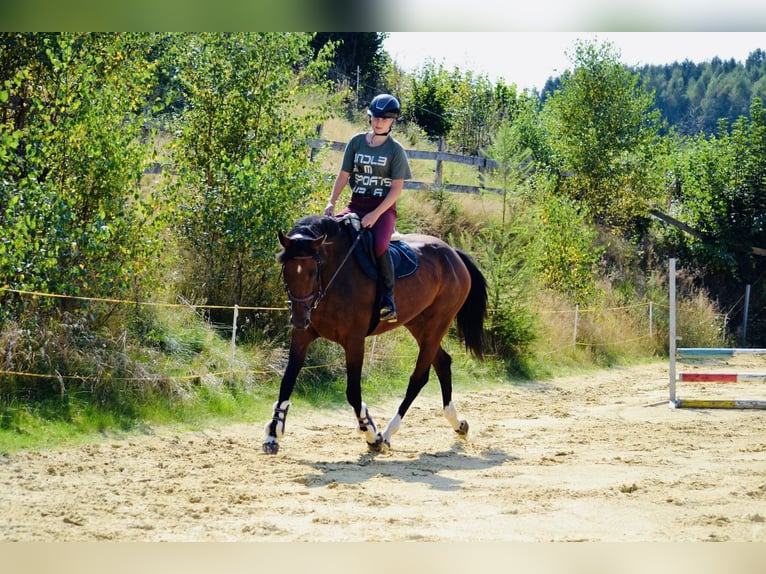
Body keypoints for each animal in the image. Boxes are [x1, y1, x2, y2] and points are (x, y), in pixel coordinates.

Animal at [260, 214, 488, 456]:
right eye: (286, 269)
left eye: (315, 270)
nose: (299, 319)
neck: (334, 277)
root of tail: (453, 253)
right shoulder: (302, 337)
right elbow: (287, 381)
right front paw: (273, 433)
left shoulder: (354, 341)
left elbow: (352, 391)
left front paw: (370, 433)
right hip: (418, 323)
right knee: (443, 363)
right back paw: (458, 423)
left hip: (438, 324)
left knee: (419, 378)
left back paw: (387, 433)